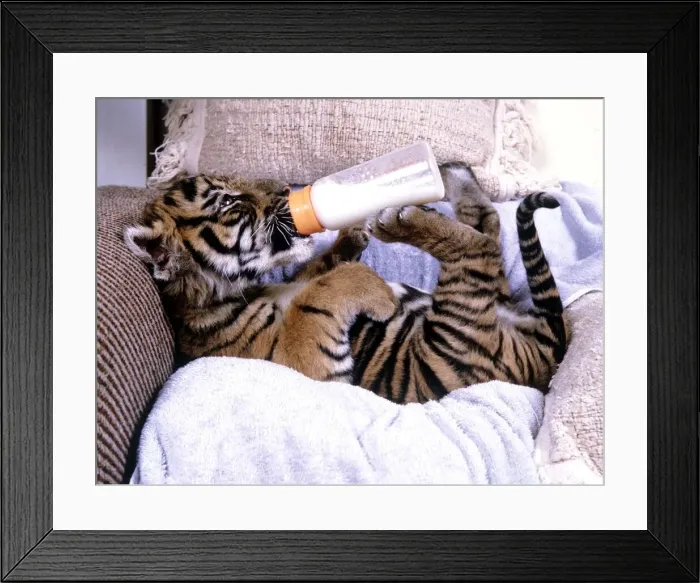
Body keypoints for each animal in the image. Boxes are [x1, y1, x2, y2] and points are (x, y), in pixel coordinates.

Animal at [124, 163, 569, 403]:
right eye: (229, 201)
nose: (284, 189)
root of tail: (548, 350)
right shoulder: (306, 366)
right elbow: (318, 293)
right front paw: (376, 288)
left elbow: (315, 271)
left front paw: (349, 236)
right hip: (462, 337)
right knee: (480, 247)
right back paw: (402, 217)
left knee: (487, 224)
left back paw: (450, 173)